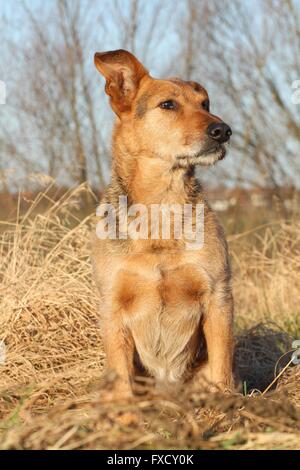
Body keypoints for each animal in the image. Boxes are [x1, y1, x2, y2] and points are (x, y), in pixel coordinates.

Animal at [91, 49, 234, 398]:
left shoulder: (218, 295)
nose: (223, 131)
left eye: (205, 103)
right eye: (168, 104)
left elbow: (222, 366)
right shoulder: (112, 305)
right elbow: (122, 376)